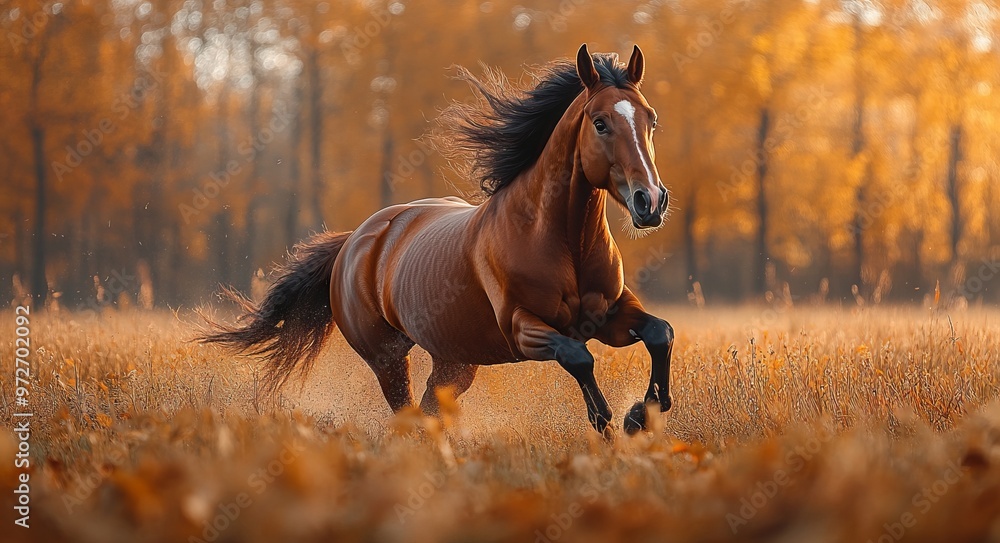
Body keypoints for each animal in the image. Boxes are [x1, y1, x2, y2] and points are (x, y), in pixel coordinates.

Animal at [200, 44, 674, 435]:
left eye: (651, 119)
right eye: (600, 123)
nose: (650, 201)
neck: (561, 241)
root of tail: (355, 241)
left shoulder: (610, 314)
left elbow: (660, 333)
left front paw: (643, 412)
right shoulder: (524, 329)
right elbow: (579, 357)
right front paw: (611, 419)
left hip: (455, 359)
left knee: (429, 408)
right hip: (389, 357)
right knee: (408, 412)